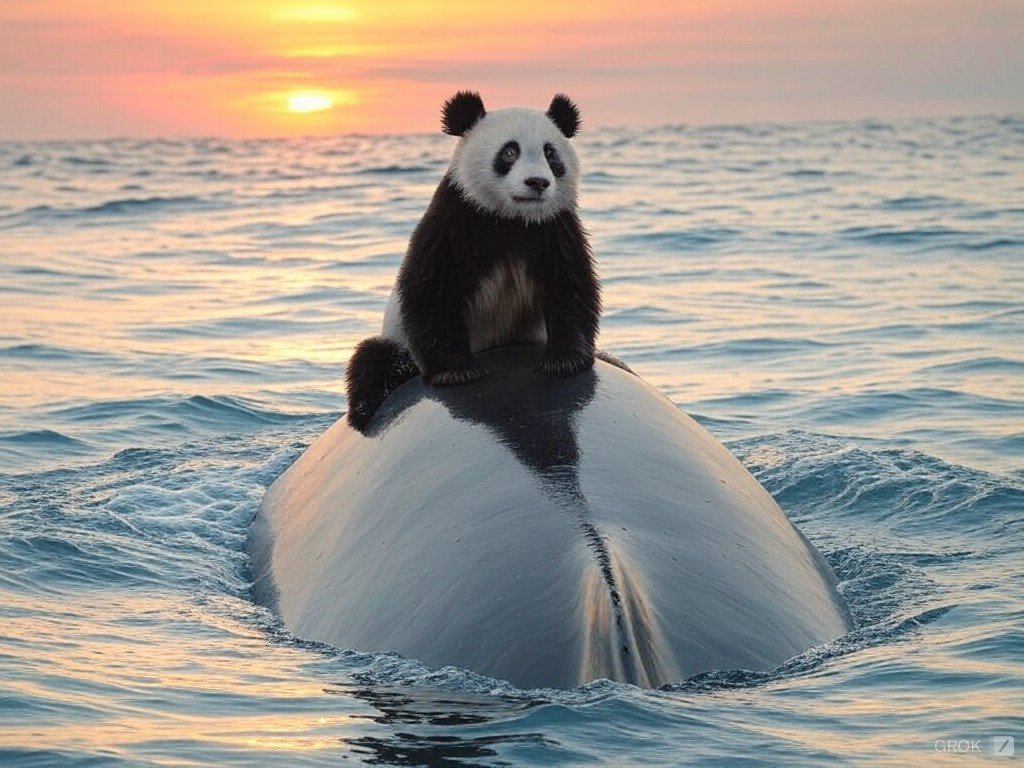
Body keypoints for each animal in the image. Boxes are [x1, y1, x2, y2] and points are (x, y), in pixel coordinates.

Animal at [345, 91, 601, 431]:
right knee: (375, 360)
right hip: (399, 346)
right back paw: (363, 409)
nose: (537, 182)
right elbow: (432, 290)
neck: (512, 219)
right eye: (509, 152)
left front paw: (565, 361)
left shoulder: (553, 228)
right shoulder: (457, 219)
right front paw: (457, 372)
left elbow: (570, 286)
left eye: (551, 153)